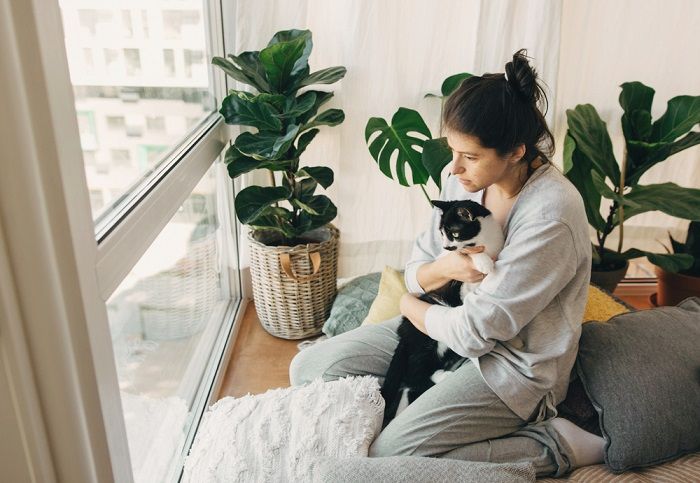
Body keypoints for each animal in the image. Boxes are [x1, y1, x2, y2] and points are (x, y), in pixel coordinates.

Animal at [380, 199, 506, 426]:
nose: (446, 245)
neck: (483, 238)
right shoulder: (452, 263)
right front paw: (483, 262)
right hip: (424, 340)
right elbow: (466, 256)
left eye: (454, 233)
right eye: (441, 233)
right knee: (414, 376)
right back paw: (440, 377)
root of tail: (403, 334)